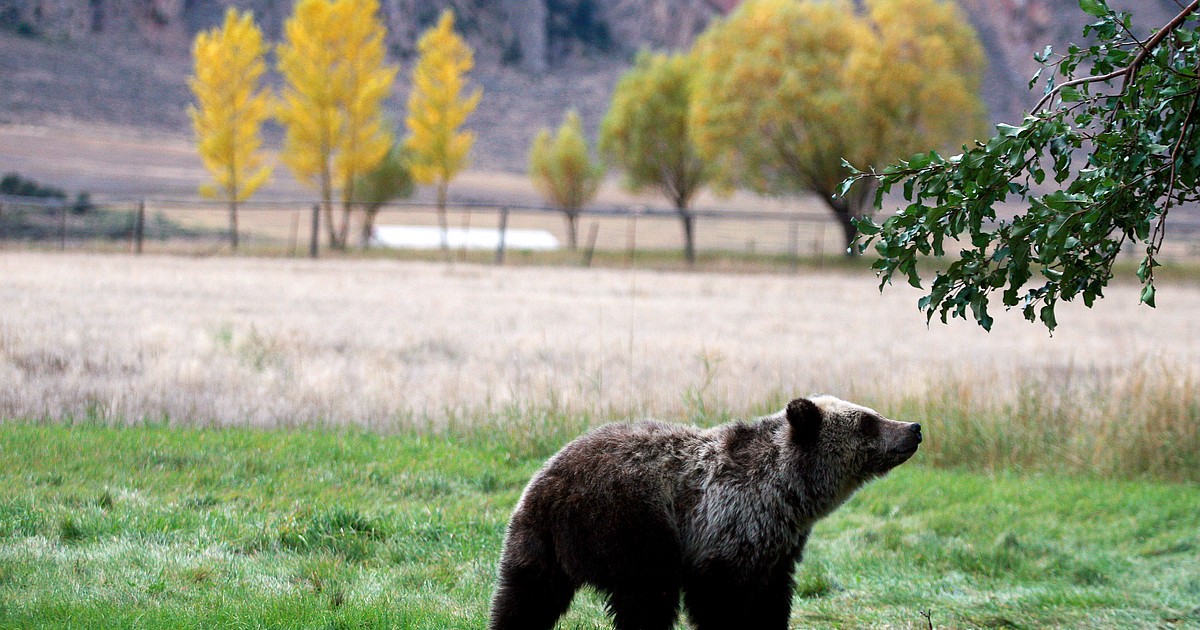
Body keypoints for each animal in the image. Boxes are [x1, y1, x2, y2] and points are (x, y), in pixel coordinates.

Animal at [488, 395, 923, 630]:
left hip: (536, 541)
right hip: (630, 524)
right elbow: (719, 601)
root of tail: (549, 484)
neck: (789, 494)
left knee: (524, 597)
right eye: (868, 421)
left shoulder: (779, 547)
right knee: (647, 599)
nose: (914, 427)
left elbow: (771, 599)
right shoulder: (726, 528)